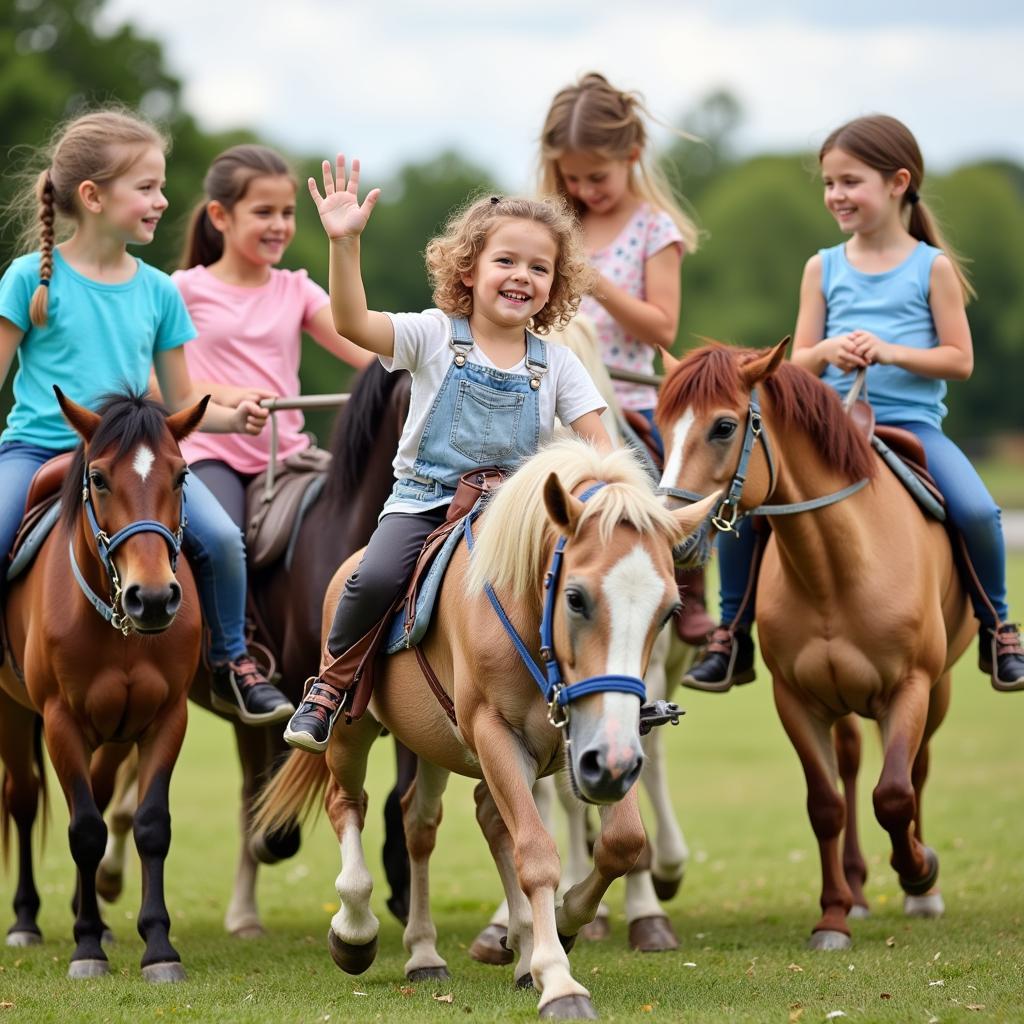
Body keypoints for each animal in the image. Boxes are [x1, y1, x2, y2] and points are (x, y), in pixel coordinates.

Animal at [0, 387, 207, 978]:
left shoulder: (167, 719)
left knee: (97, 790)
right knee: (23, 799)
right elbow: (86, 831)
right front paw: (87, 947)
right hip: (12, 712)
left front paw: (158, 947)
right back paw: (26, 921)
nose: (153, 597)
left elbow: (151, 825)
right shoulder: (59, 721)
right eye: (98, 478)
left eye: (181, 475)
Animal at [258, 438, 720, 1015]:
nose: (613, 763)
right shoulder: (496, 734)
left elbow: (622, 841)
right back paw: (357, 932)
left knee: (428, 823)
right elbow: (536, 853)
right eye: (576, 598)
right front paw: (560, 981)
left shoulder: (598, 747)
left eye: (668, 611)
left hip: (438, 745)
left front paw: (560, 928)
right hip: (353, 729)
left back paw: (445, 952)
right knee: (348, 804)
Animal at [655, 344, 974, 950]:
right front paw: (833, 918)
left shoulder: (912, 687)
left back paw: (921, 892)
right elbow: (826, 805)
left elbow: (893, 795)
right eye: (662, 428)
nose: (672, 534)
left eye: (724, 426)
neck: (838, 568)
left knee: (916, 769)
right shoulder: (798, 700)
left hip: (940, 688)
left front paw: (919, 869)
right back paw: (858, 891)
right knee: (850, 765)